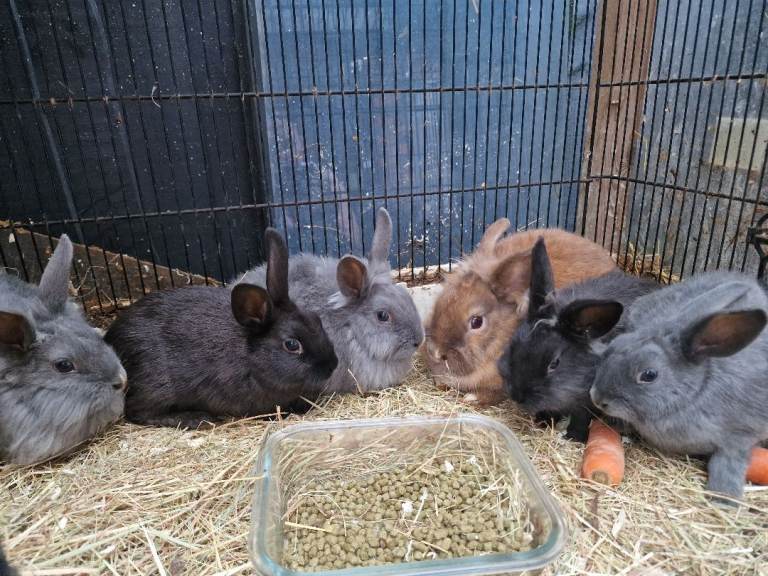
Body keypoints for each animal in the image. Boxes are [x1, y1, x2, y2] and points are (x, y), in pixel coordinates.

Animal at [105, 228, 338, 428]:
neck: (250, 357)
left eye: (316, 319)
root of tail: (111, 338)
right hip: (157, 387)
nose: (332, 365)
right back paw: (196, 419)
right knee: (137, 412)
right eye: (291, 344)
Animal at [498, 237, 659, 441]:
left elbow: (581, 418)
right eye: (513, 346)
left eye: (554, 363)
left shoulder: (588, 399)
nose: (517, 395)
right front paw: (543, 422)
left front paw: (574, 437)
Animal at [589, 271, 768, 499]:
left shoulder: (741, 435)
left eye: (649, 375)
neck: (696, 392)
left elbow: (729, 462)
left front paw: (724, 497)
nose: (596, 397)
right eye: (614, 346)